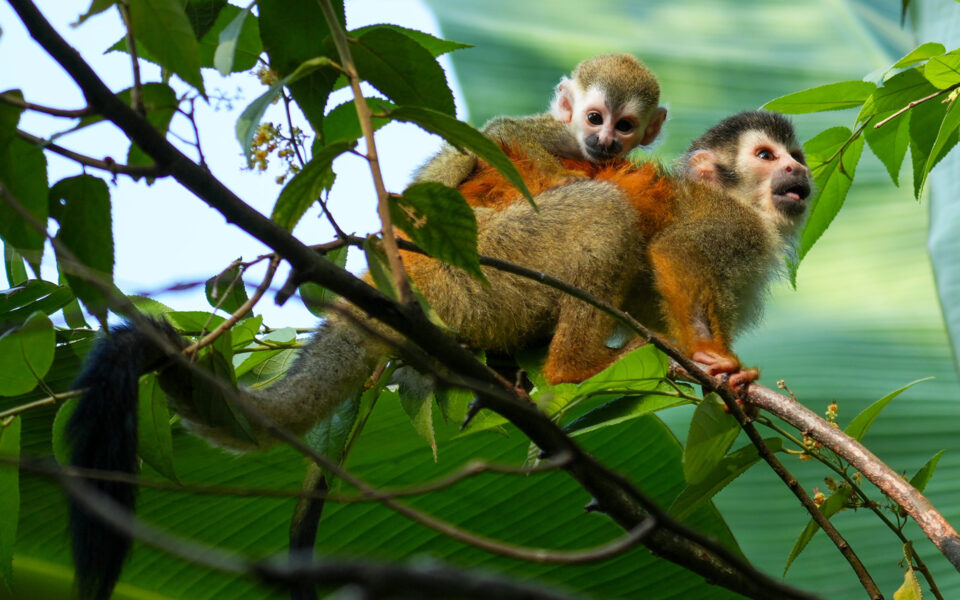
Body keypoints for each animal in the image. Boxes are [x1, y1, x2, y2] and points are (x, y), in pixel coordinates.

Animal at [66, 111, 809, 599]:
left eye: (794, 155)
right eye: (767, 156)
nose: (802, 172)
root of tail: (395, 271)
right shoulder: (727, 228)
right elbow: (675, 254)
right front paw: (712, 362)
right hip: (487, 258)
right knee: (602, 207)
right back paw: (571, 368)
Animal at [414, 53, 667, 208]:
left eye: (624, 126)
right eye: (594, 118)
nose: (605, 140)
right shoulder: (560, 133)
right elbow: (504, 129)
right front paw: (559, 174)